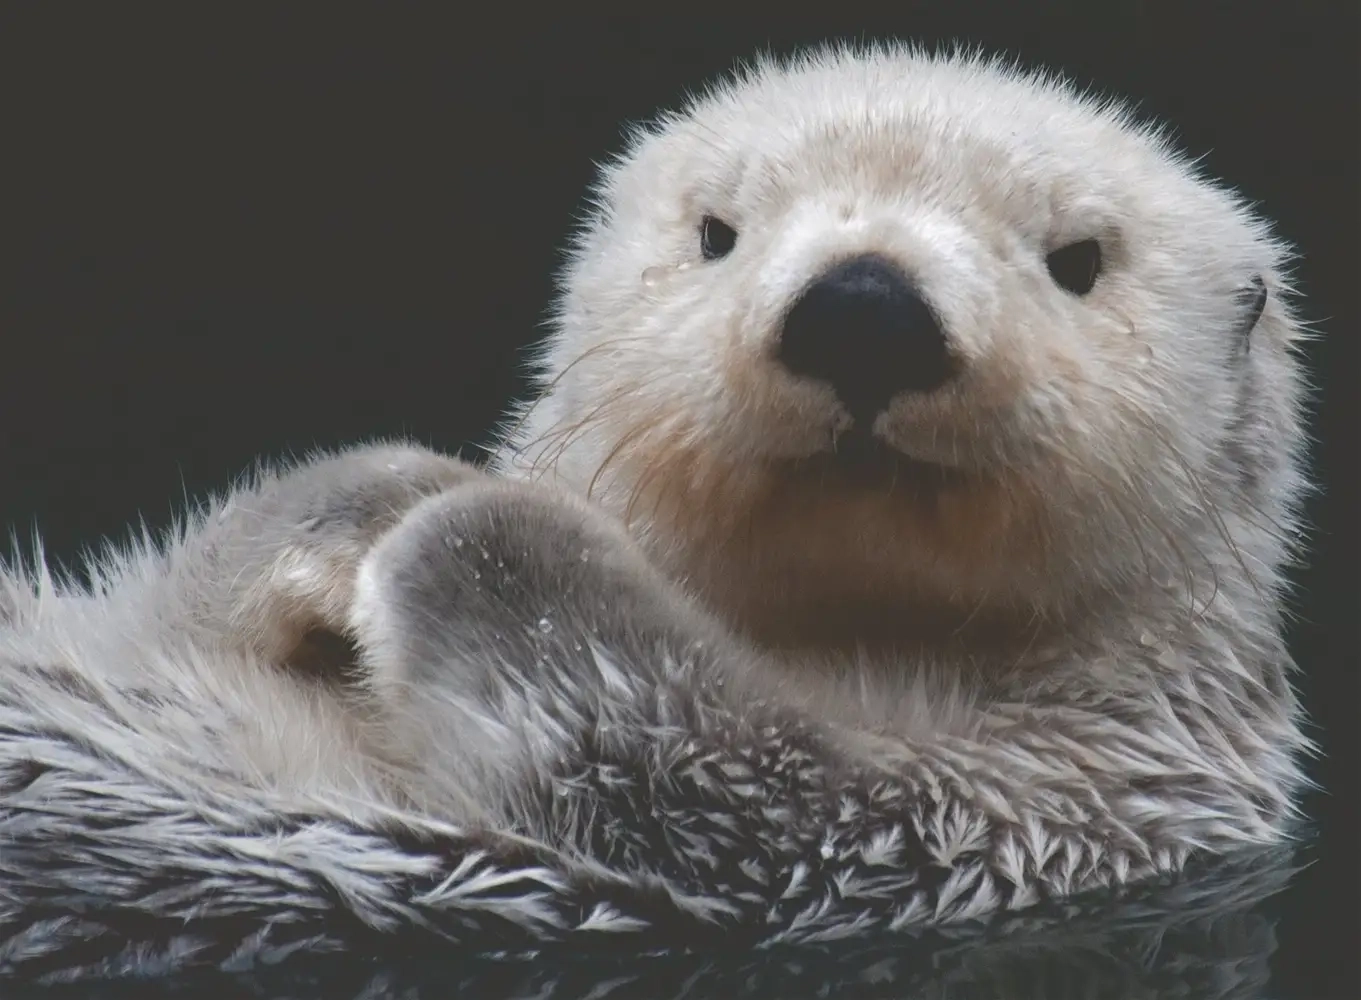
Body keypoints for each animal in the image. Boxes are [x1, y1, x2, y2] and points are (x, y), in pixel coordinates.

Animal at [0, 45, 1311, 980]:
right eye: (716, 233)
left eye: (1077, 259)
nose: (864, 307)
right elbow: (176, 593)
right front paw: (375, 497)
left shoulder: (1025, 812)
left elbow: (700, 760)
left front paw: (464, 525)